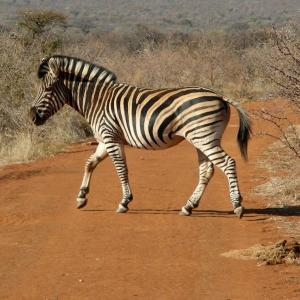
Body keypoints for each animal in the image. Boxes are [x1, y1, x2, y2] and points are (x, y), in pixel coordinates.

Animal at [30, 54, 251, 218]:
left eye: (47, 89)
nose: (32, 116)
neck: (96, 100)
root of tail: (219, 96)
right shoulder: (105, 139)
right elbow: (90, 163)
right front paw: (82, 197)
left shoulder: (110, 137)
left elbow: (121, 169)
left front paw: (124, 202)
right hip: (202, 138)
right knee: (207, 170)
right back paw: (188, 206)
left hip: (203, 136)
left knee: (228, 163)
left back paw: (237, 205)